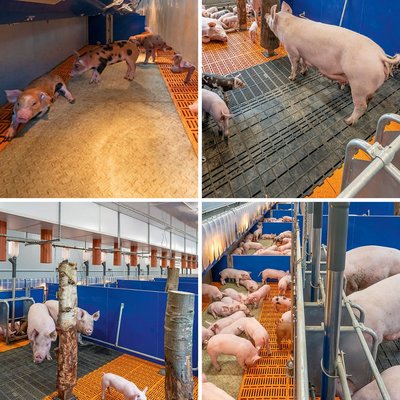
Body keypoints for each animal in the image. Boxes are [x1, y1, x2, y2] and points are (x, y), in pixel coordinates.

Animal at [266, 2, 400, 125]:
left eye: (271, 17)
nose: (266, 14)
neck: (286, 25)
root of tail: (380, 55)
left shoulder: (292, 50)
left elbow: (294, 64)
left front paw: (291, 78)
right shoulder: (303, 53)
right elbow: (304, 63)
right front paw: (304, 72)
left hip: (359, 84)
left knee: (361, 106)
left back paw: (348, 121)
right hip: (370, 86)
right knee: (370, 98)